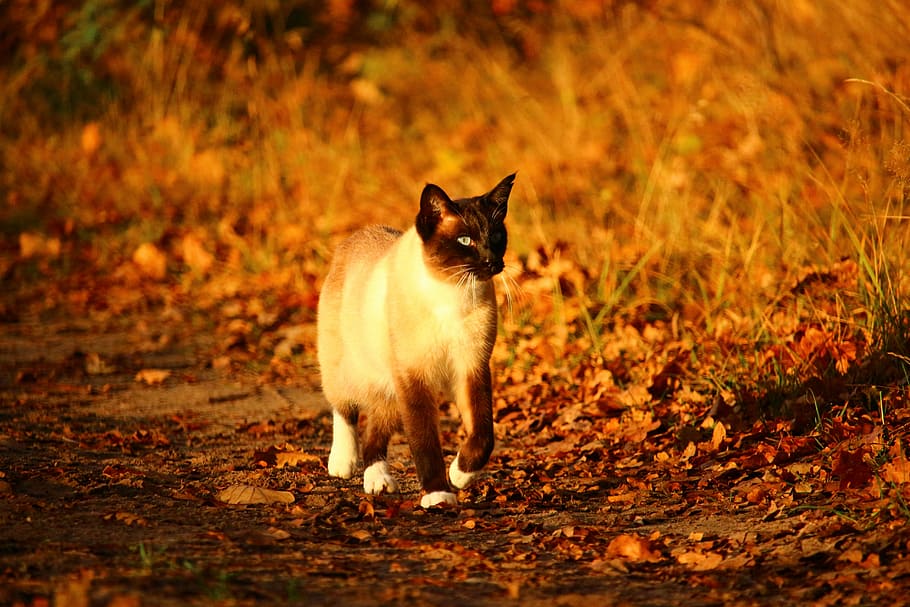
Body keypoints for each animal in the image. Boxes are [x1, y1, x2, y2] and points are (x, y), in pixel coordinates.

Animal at [318, 172, 520, 508]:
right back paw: (343, 463)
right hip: (354, 368)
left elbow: (483, 433)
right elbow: (425, 441)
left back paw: (378, 481)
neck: (452, 292)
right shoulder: (414, 376)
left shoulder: (471, 368)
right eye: (465, 240)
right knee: (343, 406)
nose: (492, 262)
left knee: (375, 434)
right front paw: (439, 494)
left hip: (387, 388)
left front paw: (460, 475)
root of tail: (361, 233)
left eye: (495, 236)